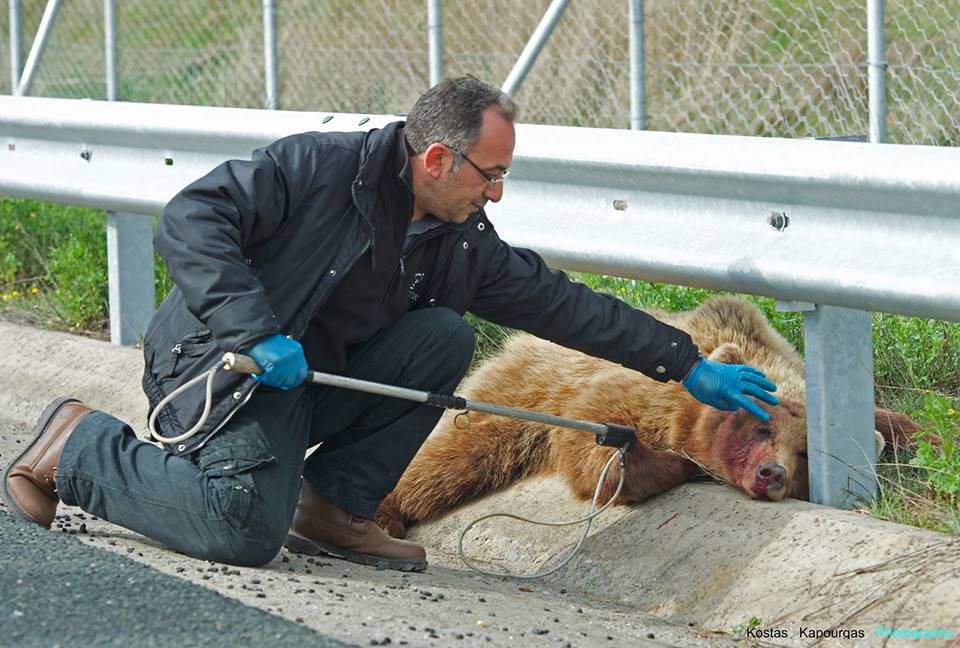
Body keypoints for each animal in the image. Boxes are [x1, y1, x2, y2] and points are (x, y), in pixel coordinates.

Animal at [374, 294, 916, 536]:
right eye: (762, 425)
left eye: (805, 454)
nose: (772, 472)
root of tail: (516, 342)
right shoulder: (635, 394)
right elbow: (598, 441)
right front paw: (664, 465)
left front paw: (909, 434)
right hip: (520, 394)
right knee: (448, 458)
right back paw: (387, 512)